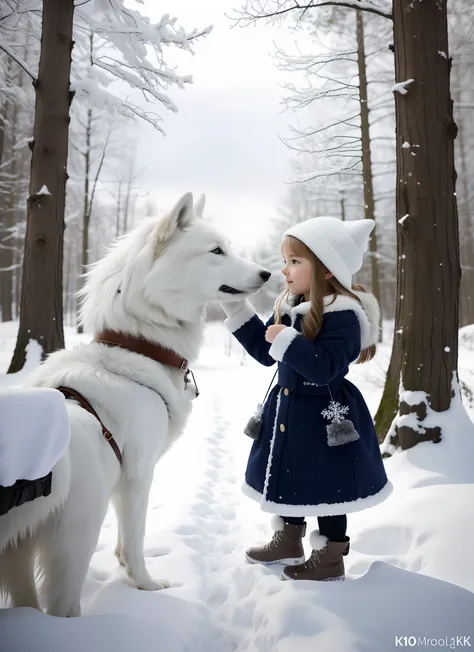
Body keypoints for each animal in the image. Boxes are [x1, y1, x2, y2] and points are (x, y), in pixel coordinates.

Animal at [0, 192, 270, 616]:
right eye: (216, 250)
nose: (267, 274)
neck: (138, 347)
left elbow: (125, 541)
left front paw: (125, 567)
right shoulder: (138, 475)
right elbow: (136, 536)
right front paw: (145, 584)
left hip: (19, 555)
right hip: (74, 541)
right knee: (61, 604)